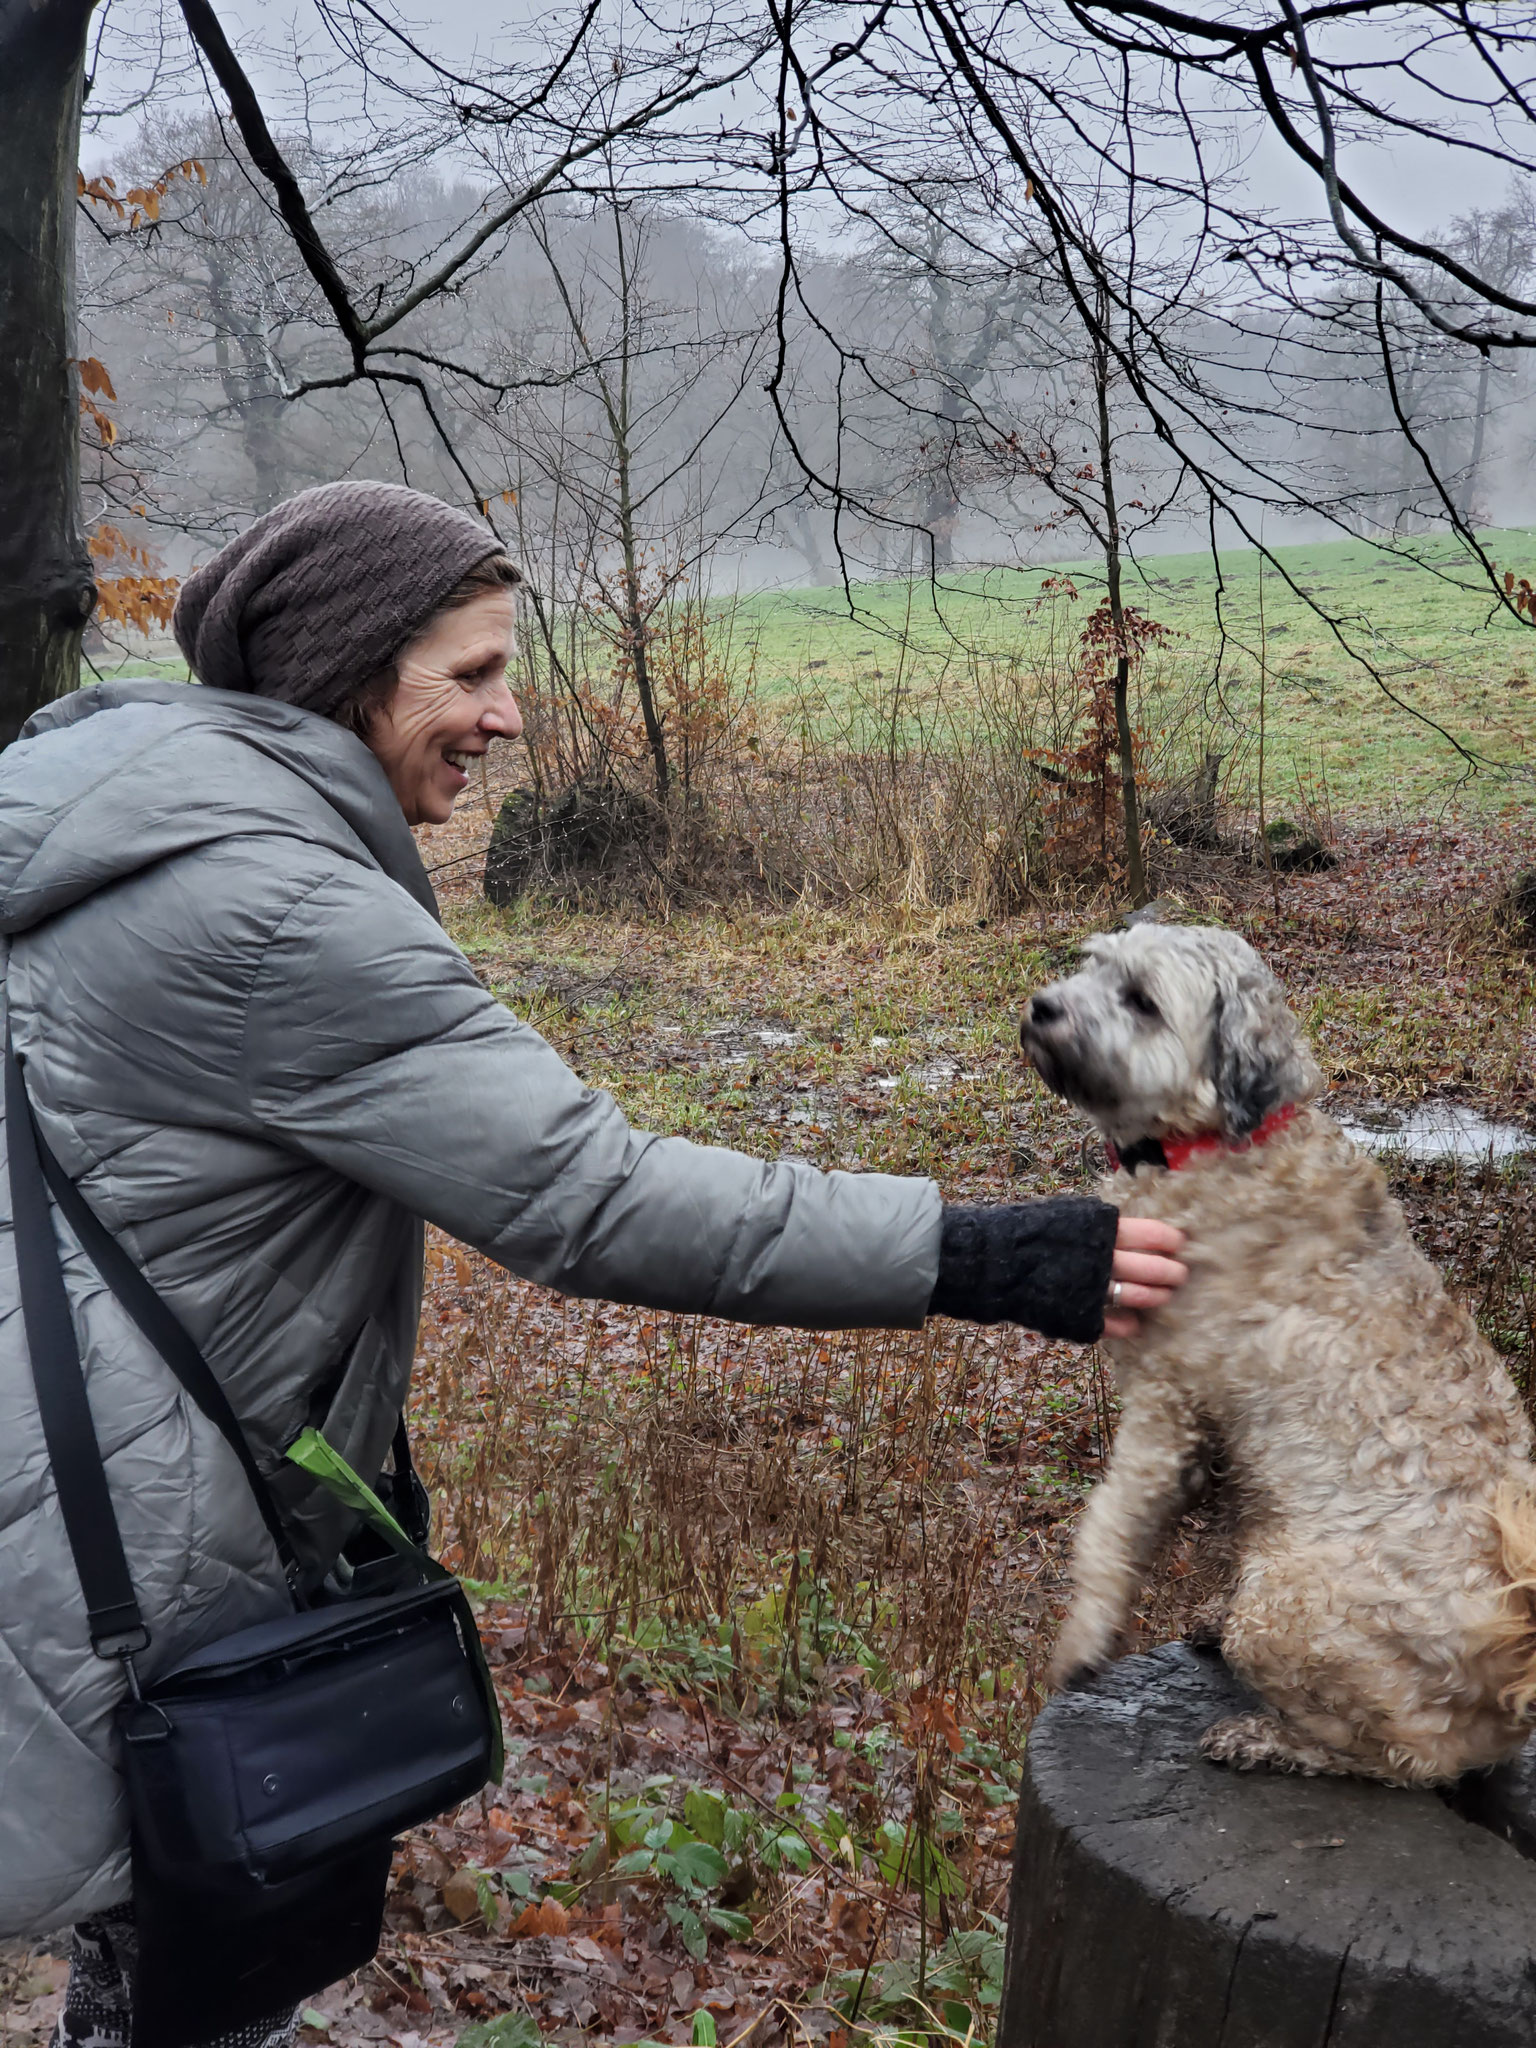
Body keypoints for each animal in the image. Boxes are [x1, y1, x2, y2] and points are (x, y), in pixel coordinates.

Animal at [1024, 921, 1536, 1785]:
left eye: (1142, 999)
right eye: (1091, 966)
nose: (1041, 1006)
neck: (1212, 1143)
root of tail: (1514, 1644)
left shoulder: (1168, 1411)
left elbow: (1110, 1527)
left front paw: (1085, 1635)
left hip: (1285, 1610)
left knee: (1408, 1756)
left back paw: (1268, 1738)